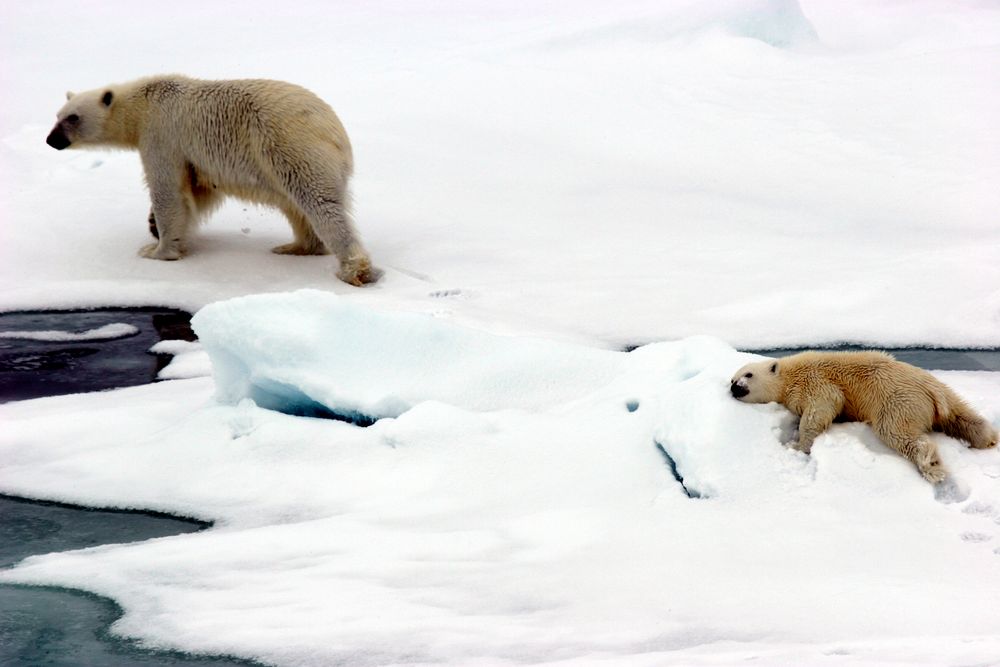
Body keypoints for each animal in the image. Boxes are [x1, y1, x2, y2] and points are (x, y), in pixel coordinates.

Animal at [43, 73, 380, 288]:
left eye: (72, 117)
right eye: (57, 114)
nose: (50, 140)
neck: (144, 102)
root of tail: (336, 129)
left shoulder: (162, 133)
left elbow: (168, 190)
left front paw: (157, 251)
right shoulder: (192, 157)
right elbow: (199, 191)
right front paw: (153, 227)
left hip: (290, 144)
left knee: (319, 202)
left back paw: (354, 269)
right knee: (295, 206)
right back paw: (295, 247)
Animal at [732, 350, 996, 486]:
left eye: (748, 374)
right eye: (733, 378)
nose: (735, 387)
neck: (789, 375)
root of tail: (930, 390)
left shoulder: (815, 380)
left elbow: (822, 407)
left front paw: (797, 445)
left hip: (897, 400)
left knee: (897, 432)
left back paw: (931, 466)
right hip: (945, 395)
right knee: (963, 416)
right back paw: (988, 437)